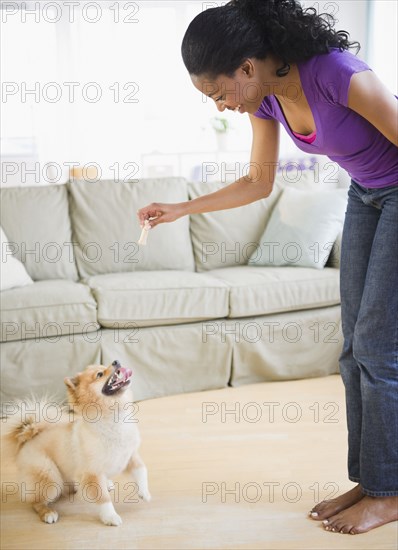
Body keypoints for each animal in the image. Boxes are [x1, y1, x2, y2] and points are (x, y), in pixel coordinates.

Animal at [3, 362, 151, 528]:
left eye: (104, 365)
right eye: (100, 374)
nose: (116, 362)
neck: (113, 419)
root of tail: (28, 437)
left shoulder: (130, 455)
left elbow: (141, 470)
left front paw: (144, 492)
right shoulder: (92, 473)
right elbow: (103, 499)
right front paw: (110, 517)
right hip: (50, 477)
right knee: (35, 501)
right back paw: (48, 513)